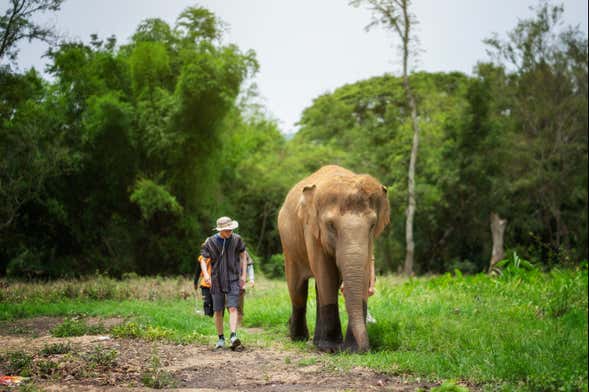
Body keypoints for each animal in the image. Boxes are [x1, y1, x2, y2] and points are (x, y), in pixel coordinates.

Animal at [276, 165, 388, 352]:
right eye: (331, 225)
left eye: (372, 225)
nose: (366, 349)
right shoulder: (312, 230)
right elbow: (326, 275)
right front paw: (331, 349)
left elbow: (362, 273)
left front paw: (351, 350)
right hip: (288, 245)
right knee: (297, 289)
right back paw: (299, 338)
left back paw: (315, 342)